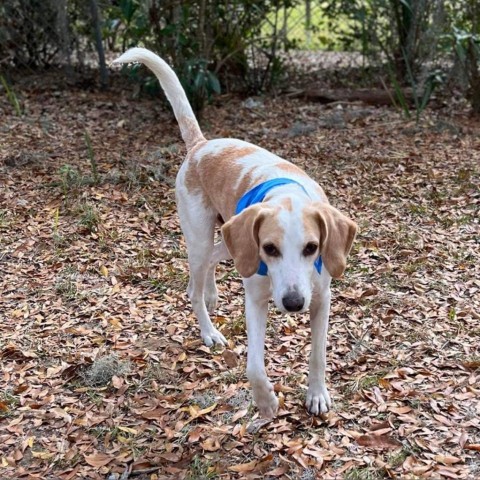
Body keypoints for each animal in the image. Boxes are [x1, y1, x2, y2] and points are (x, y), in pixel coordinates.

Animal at [112, 48, 356, 416]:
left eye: (312, 248)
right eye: (270, 249)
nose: (294, 303)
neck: (287, 194)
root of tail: (200, 146)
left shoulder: (321, 297)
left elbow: (318, 355)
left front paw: (316, 394)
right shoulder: (255, 296)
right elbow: (254, 365)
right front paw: (266, 401)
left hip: (231, 237)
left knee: (211, 262)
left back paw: (210, 292)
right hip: (204, 238)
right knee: (195, 286)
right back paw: (208, 328)